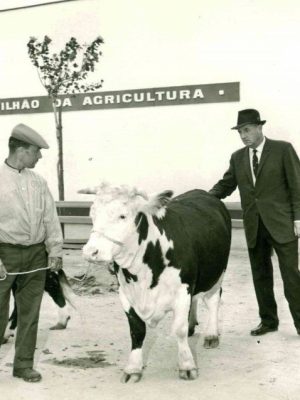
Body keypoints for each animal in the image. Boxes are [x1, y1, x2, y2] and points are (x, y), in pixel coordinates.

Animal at [80, 184, 232, 382]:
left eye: (123, 216)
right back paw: (193, 325)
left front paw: (187, 365)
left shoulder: (183, 290)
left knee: (213, 299)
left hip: (217, 273)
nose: (91, 252)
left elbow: (179, 329)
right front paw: (133, 368)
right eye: (93, 214)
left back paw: (212, 334)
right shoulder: (125, 294)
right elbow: (137, 331)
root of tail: (202, 192)